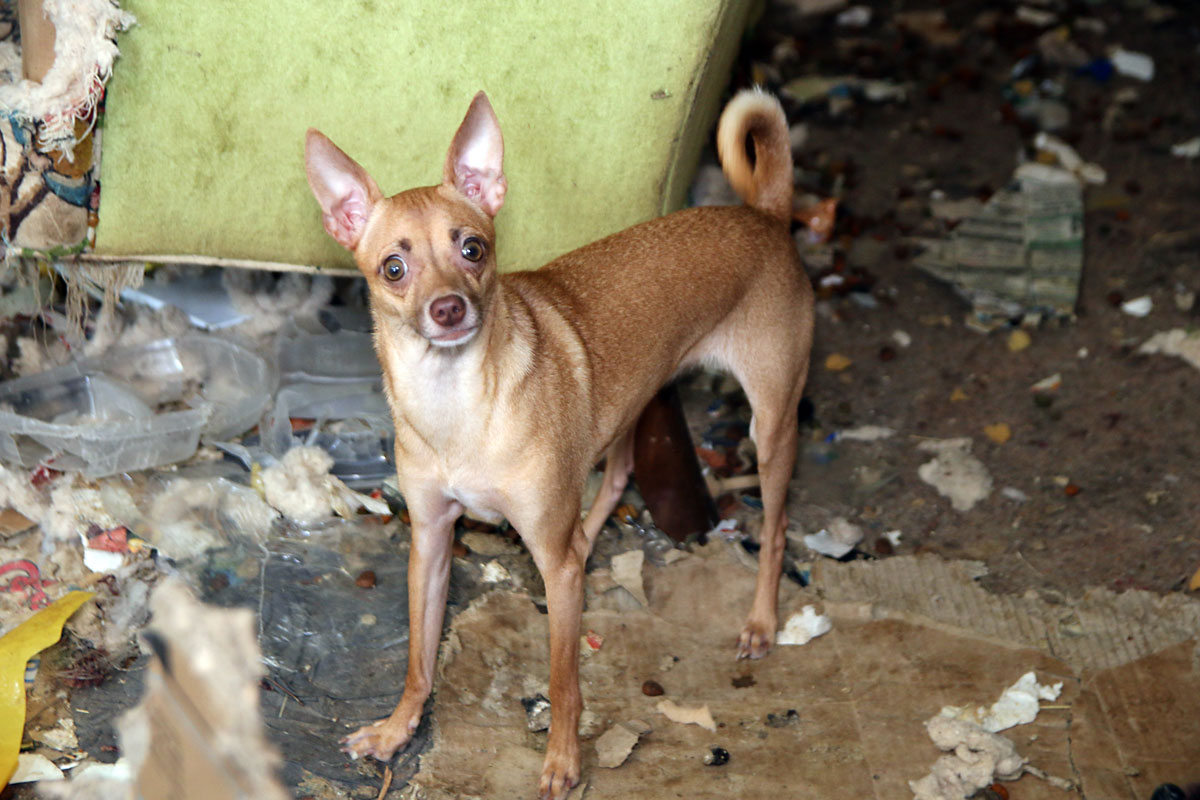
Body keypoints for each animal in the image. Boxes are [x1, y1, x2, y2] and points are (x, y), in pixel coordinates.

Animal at [307, 90, 816, 796]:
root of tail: (764, 215)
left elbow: (563, 680)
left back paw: (761, 623)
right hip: (634, 402)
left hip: (770, 426)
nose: (449, 309)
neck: (458, 405)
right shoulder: (430, 542)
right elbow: (418, 657)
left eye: (473, 249)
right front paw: (395, 730)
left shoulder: (545, 561)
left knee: (774, 526)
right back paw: (592, 532)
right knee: (617, 474)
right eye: (394, 268)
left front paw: (563, 761)